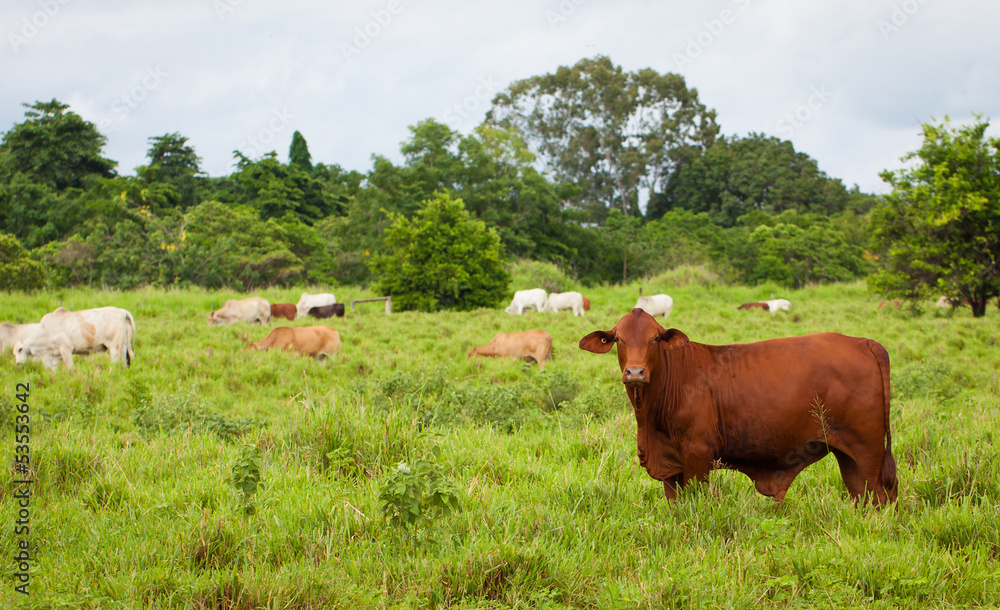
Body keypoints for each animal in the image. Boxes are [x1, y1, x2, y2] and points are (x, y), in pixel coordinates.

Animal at [579, 309, 898, 505]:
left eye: (655, 338)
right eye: (618, 339)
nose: (635, 372)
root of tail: (863, 342)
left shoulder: (698, 456)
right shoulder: (670, 466)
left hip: (868, 451)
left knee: (881, 497)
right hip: (849, 456)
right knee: (863, 496)